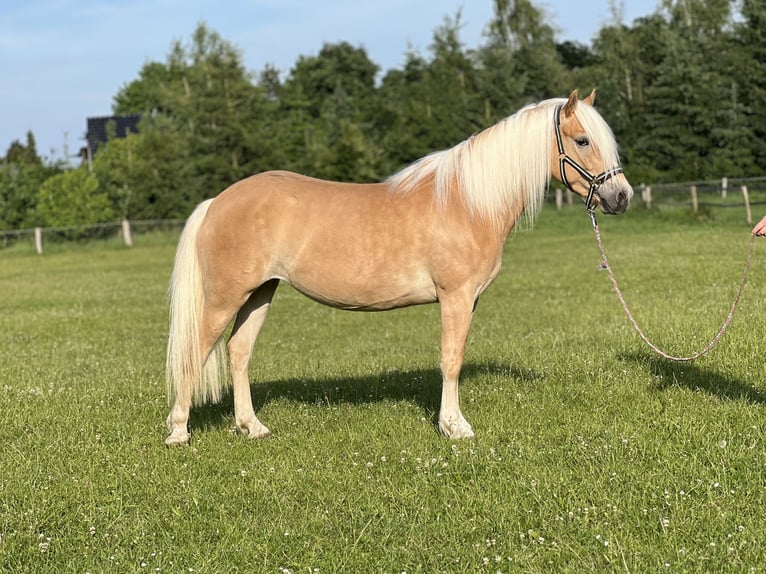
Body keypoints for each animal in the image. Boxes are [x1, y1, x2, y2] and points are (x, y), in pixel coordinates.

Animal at [164, 89, 633, 446]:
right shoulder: (455, 297)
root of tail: (216, 202)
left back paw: (252, 427)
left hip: (260, 292)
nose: (621, 196)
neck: (467, 202)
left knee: (238, 351)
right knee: (195, 353)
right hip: (225, 297)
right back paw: (179, 432)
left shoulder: (469, 301)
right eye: (582, 140)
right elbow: (450, 360)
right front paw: (455, 427)